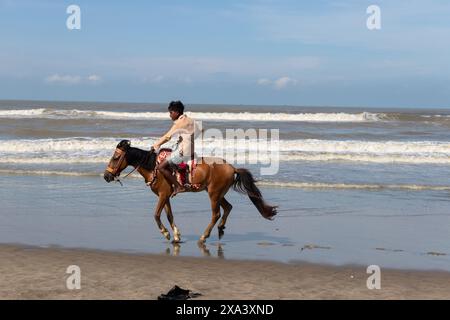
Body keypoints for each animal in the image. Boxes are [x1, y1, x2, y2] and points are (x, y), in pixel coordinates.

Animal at [104, 139, 278, 242]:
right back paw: (220, 229)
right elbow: (169, 215)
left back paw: (204, 236)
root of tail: (232, 167)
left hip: (213, 194)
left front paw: (166, 233)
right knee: (228, 207)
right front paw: (176, 235)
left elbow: (156, 215)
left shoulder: (162, 195)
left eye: (115, 157)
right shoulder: (165, 196)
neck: (154, 167)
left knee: (216, 214)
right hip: (217, 193)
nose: (106, 176)